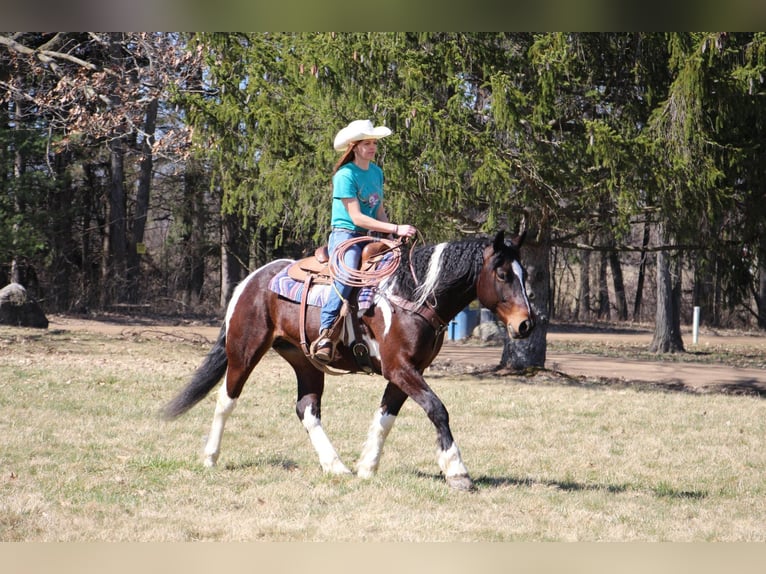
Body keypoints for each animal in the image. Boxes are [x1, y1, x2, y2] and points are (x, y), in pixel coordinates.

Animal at [162, 232, 536, 492]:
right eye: (503, 274)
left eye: (524, 275)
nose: (525, 325)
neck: (412, 296)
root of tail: (252, 280)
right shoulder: (400, 368)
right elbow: (437, 409)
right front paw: (457, 472)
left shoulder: (406, 371)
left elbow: (385, 417)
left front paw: (367, 467)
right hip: (244, 350)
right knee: (226, 400)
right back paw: (210, 457)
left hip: (306, 362)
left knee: (307, 409)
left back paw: (335, 466)